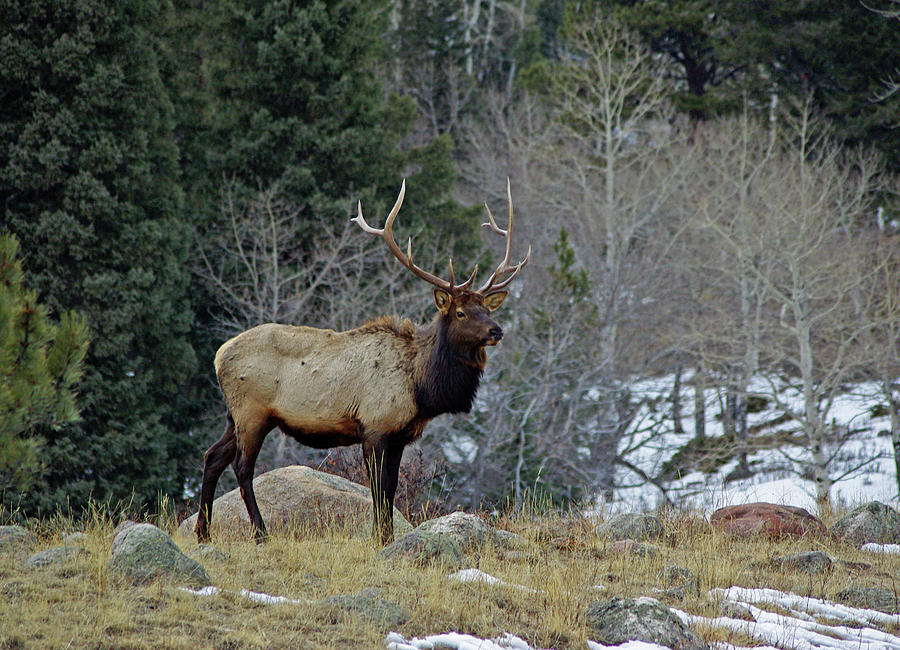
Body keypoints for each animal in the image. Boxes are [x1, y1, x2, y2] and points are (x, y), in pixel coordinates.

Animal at [195, 177, 528, 540]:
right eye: (461, 312)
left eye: (487, 309)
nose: (496, 330)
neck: (421, 385)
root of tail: (218, 356)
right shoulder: (374, 425)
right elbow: (379, 489)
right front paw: (380, 538)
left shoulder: (399, 434)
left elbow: (391, 489)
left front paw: (388, 537)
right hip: (252, 411)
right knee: (242, 467)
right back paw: (260, 534)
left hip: (235, 415)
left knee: (212, 456)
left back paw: (203, 531)